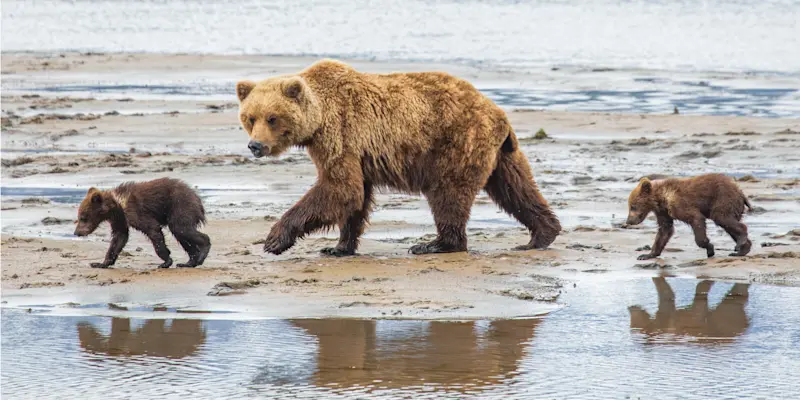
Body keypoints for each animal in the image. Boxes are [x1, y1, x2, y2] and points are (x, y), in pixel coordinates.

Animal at [73, 178, 211, 269]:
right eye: (79, 217)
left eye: (83, 217)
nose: (76, 232)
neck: (117, 205)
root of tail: (198, 199)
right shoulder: (120, 219)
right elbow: (119, 238)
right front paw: (100, 263)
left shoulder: (135, 211)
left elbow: (152, 229)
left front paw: (165, 261)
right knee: (182, 235)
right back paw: (189, 262)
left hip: (180, 205)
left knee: (181, 229)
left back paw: (202, 253)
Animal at [235, 59, 561, 256]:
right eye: (250, 118)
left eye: (272, 118)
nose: (255, 146)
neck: (318, 119)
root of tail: (498, 112)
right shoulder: (358, 152)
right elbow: (355, 197)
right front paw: (338, 247)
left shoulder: (341, 135)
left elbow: (339, 188)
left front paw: (274, 239)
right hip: (502, 153)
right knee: (516, 188)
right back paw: (541, 235)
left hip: (455, 143)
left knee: (448, 195)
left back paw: (434, 244)